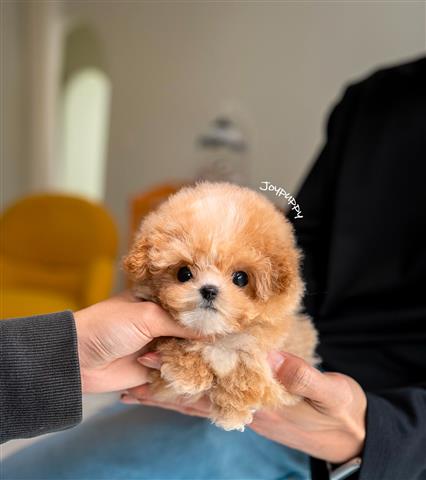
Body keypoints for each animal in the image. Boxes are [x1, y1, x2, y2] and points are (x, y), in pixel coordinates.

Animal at [123, 181, 316, 432]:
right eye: (183, 273)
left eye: (240, 278)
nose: (209, 290)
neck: (216, 334)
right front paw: (188, 374)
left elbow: (248, 361)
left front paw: (233, 411)